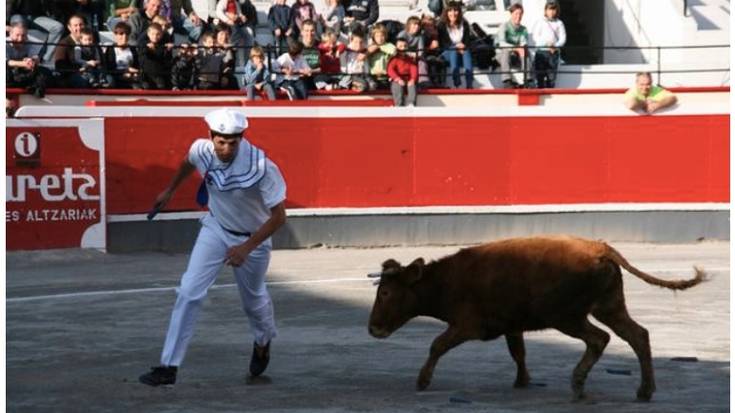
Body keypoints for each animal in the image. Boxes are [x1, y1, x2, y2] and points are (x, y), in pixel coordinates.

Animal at [368, 235, 708, 400]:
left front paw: (422, 381)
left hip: (566, 316)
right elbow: (518, 352)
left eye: (385, 293)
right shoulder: (511, 326)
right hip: (609, 307)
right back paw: (644, 391)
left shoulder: (468, 325)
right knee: (638, 336)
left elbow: (437, 344)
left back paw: (578, 384)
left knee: (600, 338)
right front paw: (523, 381)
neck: (446, 280)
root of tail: (601, 249)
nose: (372, 328)